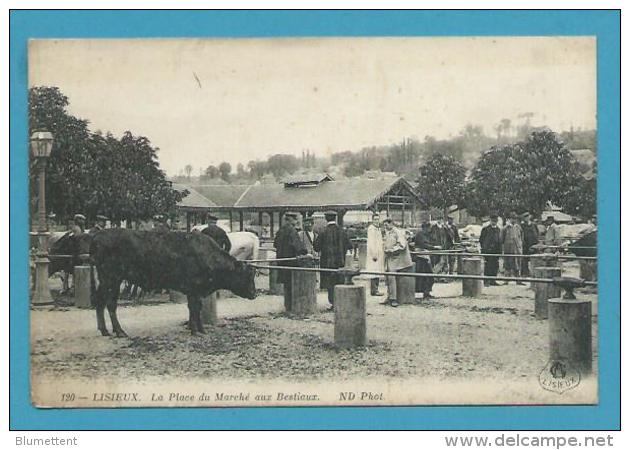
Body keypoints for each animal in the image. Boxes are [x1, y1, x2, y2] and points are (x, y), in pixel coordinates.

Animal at [89, 230, 256, 336]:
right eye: (247, 276)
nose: (254, 294)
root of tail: (98, 236)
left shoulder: (194, 291)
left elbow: (195, 309)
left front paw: (199, 329)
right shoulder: (194, 290)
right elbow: (194, 308)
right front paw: (196, 330)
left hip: (106, 280)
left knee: (100, 301)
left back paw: (104, 330)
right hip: (112, 279)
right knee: (110, 304)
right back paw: (119, 331)